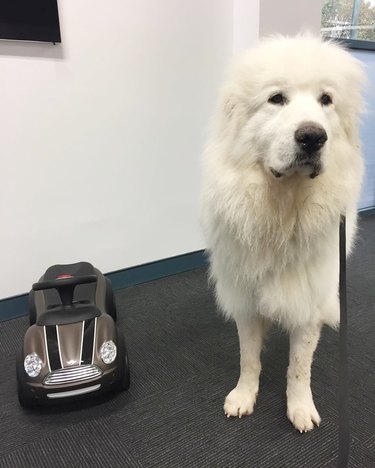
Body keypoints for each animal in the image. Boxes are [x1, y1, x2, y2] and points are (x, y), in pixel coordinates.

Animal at [201, 35, 366, 432]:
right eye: (276, 98)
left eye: (326, 99)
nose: (313, 136)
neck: (283, 208)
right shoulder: (245, 297)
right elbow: (248, 357)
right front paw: (244, 396)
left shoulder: (306, 302)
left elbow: (299, 367)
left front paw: (300, 407)